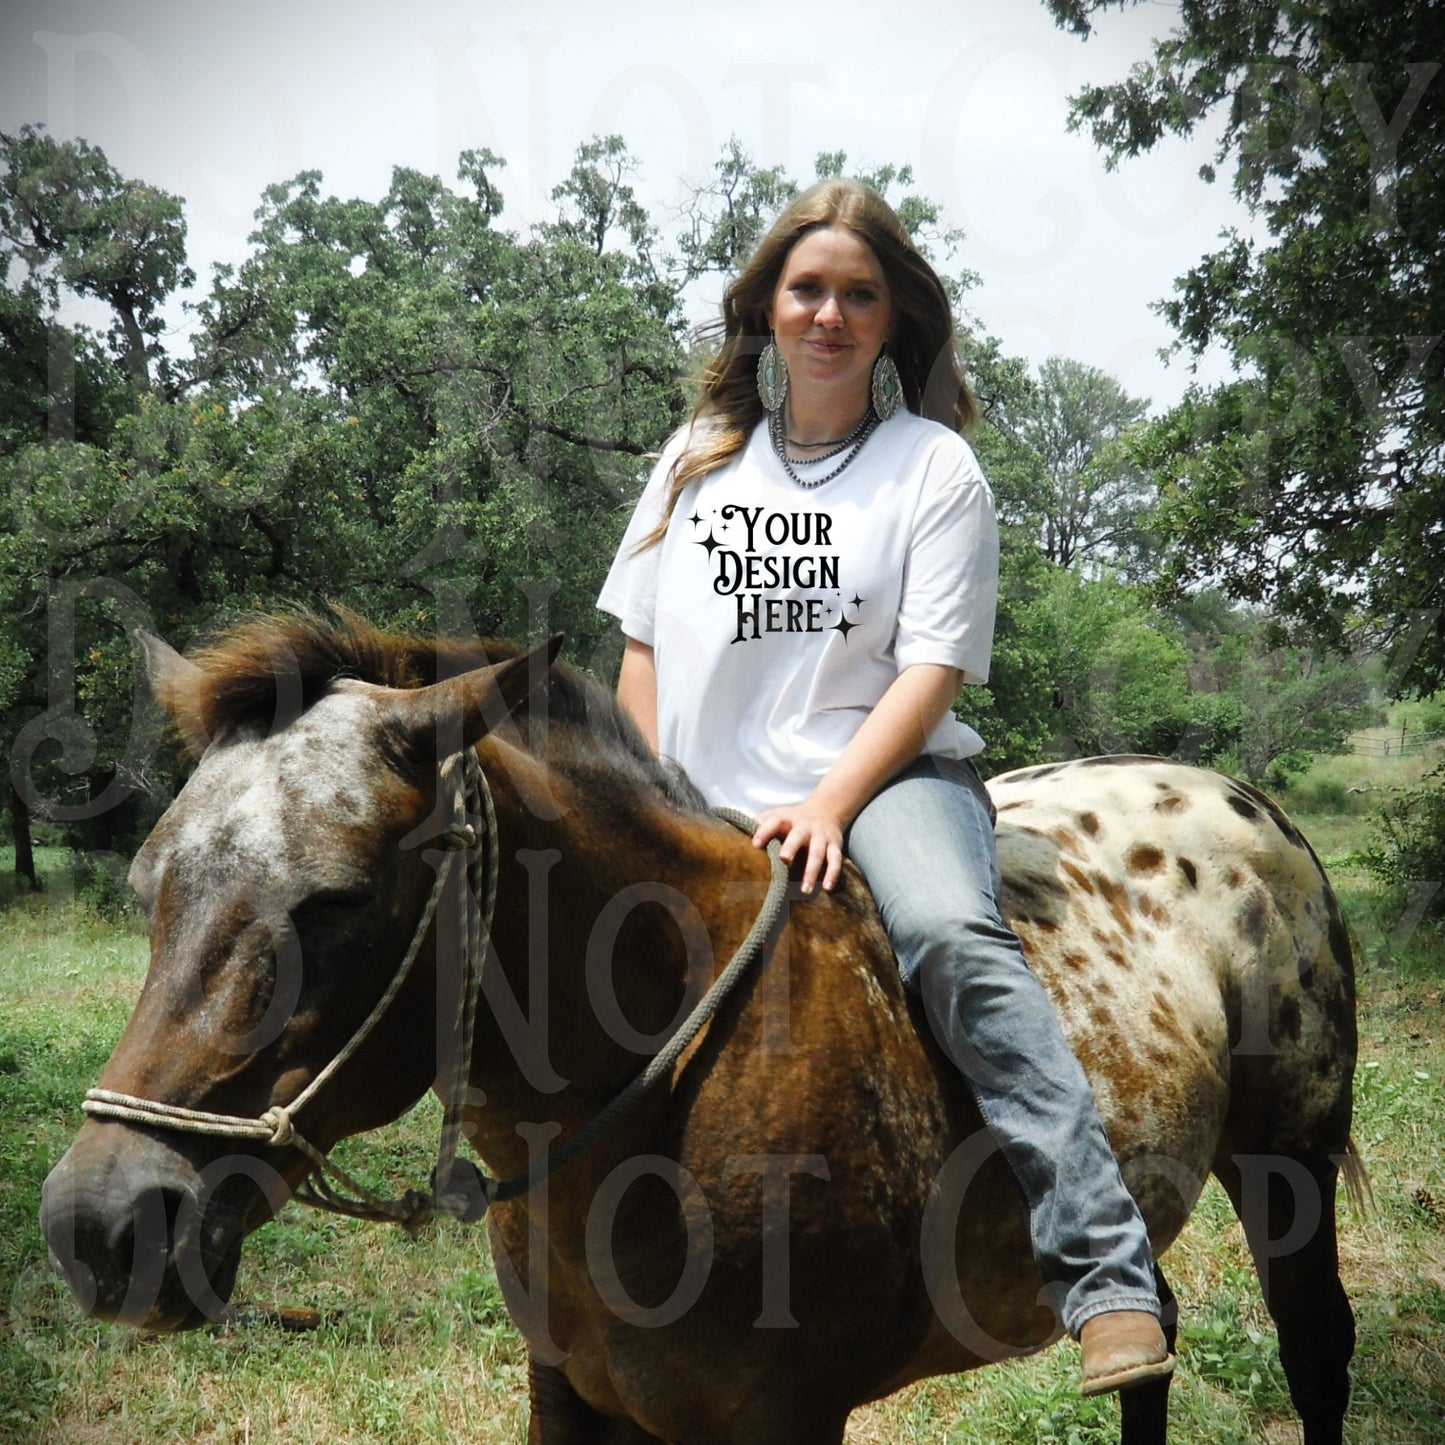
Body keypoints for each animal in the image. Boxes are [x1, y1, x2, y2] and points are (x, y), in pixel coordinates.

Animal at [39, 612, 1358, 1445]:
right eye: (149, 881)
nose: (101, 1223)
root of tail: (1241, 801)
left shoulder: (785, 1417)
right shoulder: (568, 1393)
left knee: (1315, 1347)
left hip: (1284, 1166)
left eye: (338, 898)